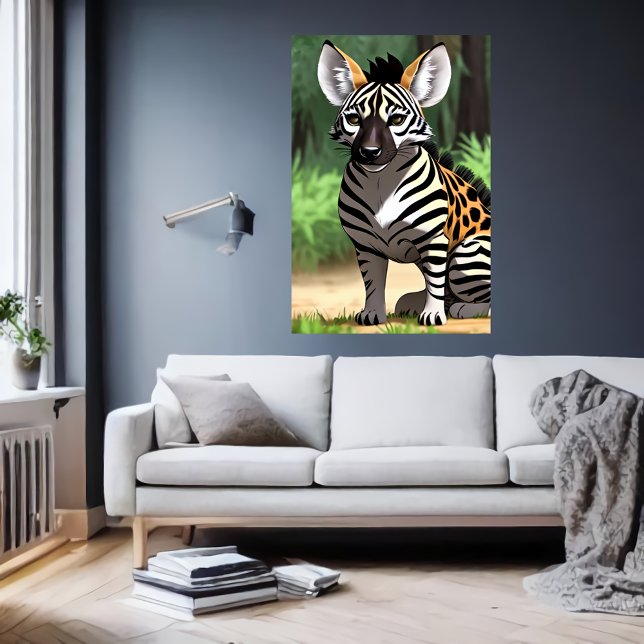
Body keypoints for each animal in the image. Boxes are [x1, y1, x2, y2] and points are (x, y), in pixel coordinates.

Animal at [316, 40, 491, 326]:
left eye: (396, 120)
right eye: (354, 120)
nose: (369, 152)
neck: (379, 184)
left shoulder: (434, 240)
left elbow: (435, 281)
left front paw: (432, 316)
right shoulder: (366, 246)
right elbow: (373, 284)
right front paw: (372, 315)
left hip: (467, 254)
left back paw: (461, 309)